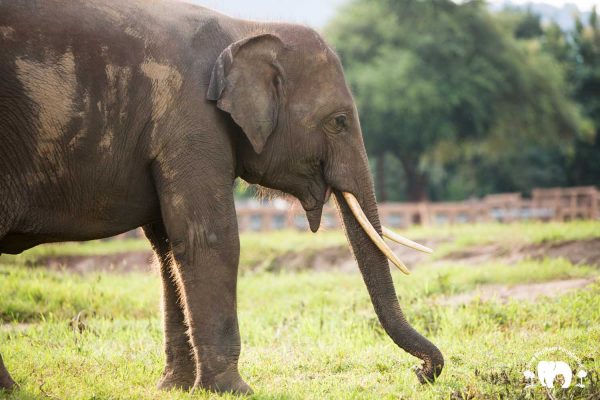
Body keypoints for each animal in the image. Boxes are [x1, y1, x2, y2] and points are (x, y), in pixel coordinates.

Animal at [0, 0, 440, 394]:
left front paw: (175, 388)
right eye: (339, 121)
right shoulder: (191, 120)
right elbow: (209, 239)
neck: (243, 29)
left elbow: (168, 247)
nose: (421, 373)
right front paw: (234, 390)